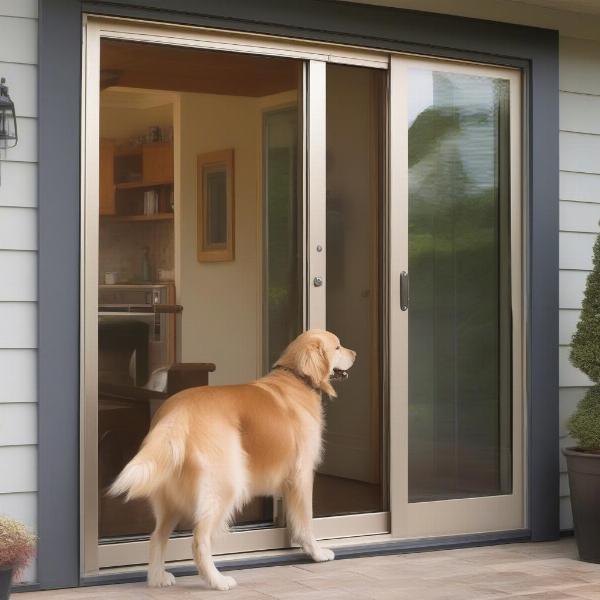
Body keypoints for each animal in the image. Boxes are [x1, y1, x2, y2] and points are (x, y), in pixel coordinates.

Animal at [109, 330, 356, 592]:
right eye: (338, 347)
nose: (355, 353)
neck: (296, 378)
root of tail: (177, 412)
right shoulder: (301, 474)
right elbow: (306, 520)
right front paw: (317, 553)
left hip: (170, 497)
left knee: (156, 537)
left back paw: (157, 578)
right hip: (225, 485)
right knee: (199, 539)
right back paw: (217, 580)